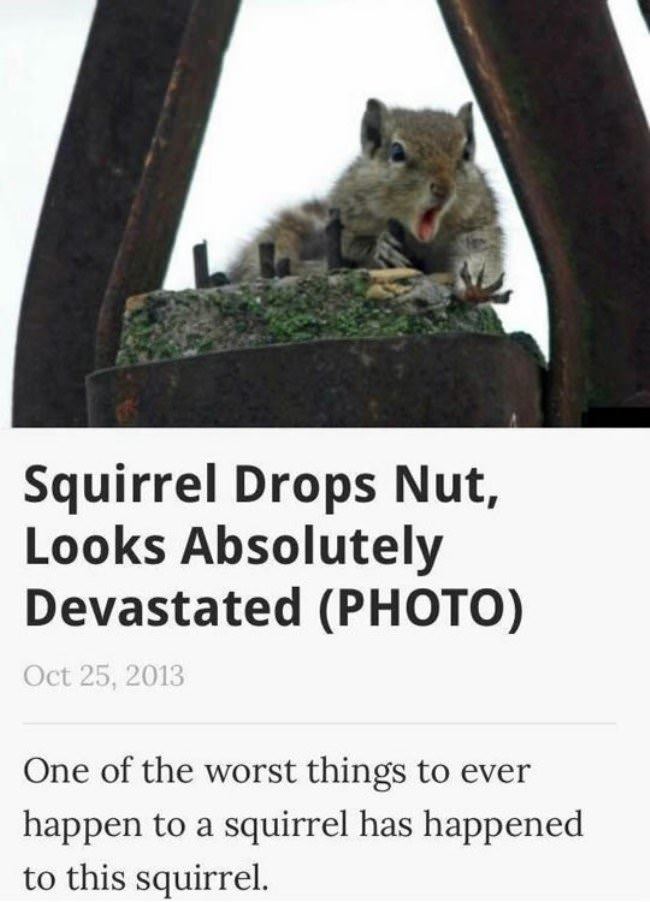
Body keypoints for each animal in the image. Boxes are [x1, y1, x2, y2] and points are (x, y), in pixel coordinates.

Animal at [227, 99, 508, 304]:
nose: (444, 189)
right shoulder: (345, 215)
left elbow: (481, 250)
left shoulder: (477, 222)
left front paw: (476, 287)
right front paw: (380, 247)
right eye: (397, 152)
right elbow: (348, 245)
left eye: (466, 154)